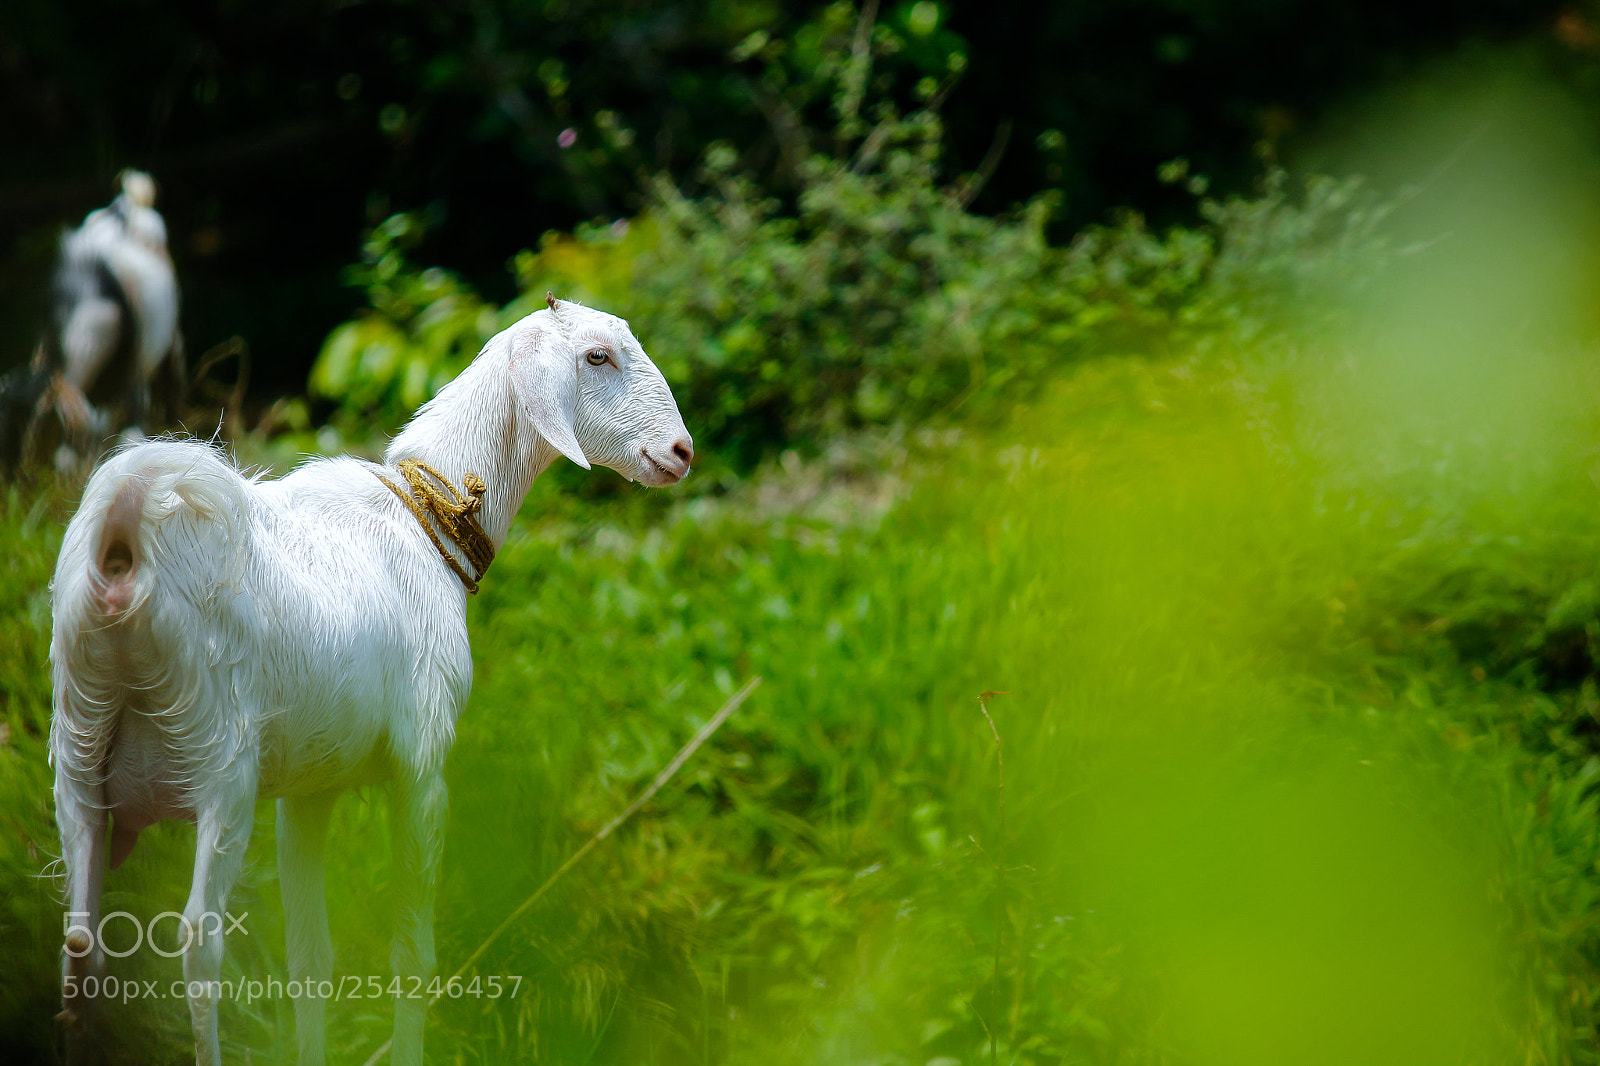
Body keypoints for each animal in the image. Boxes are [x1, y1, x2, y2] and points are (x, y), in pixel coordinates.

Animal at [50, 297, 693, 1066]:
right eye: (597, 356)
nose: (682, 452)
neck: (424, 523)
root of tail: (125, 537)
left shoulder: (307, 789)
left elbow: (310, 958)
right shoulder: (422, 765)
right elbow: (411, 954)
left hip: (80, 753)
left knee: (80, 943)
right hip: (218, 761)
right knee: (198, 943)